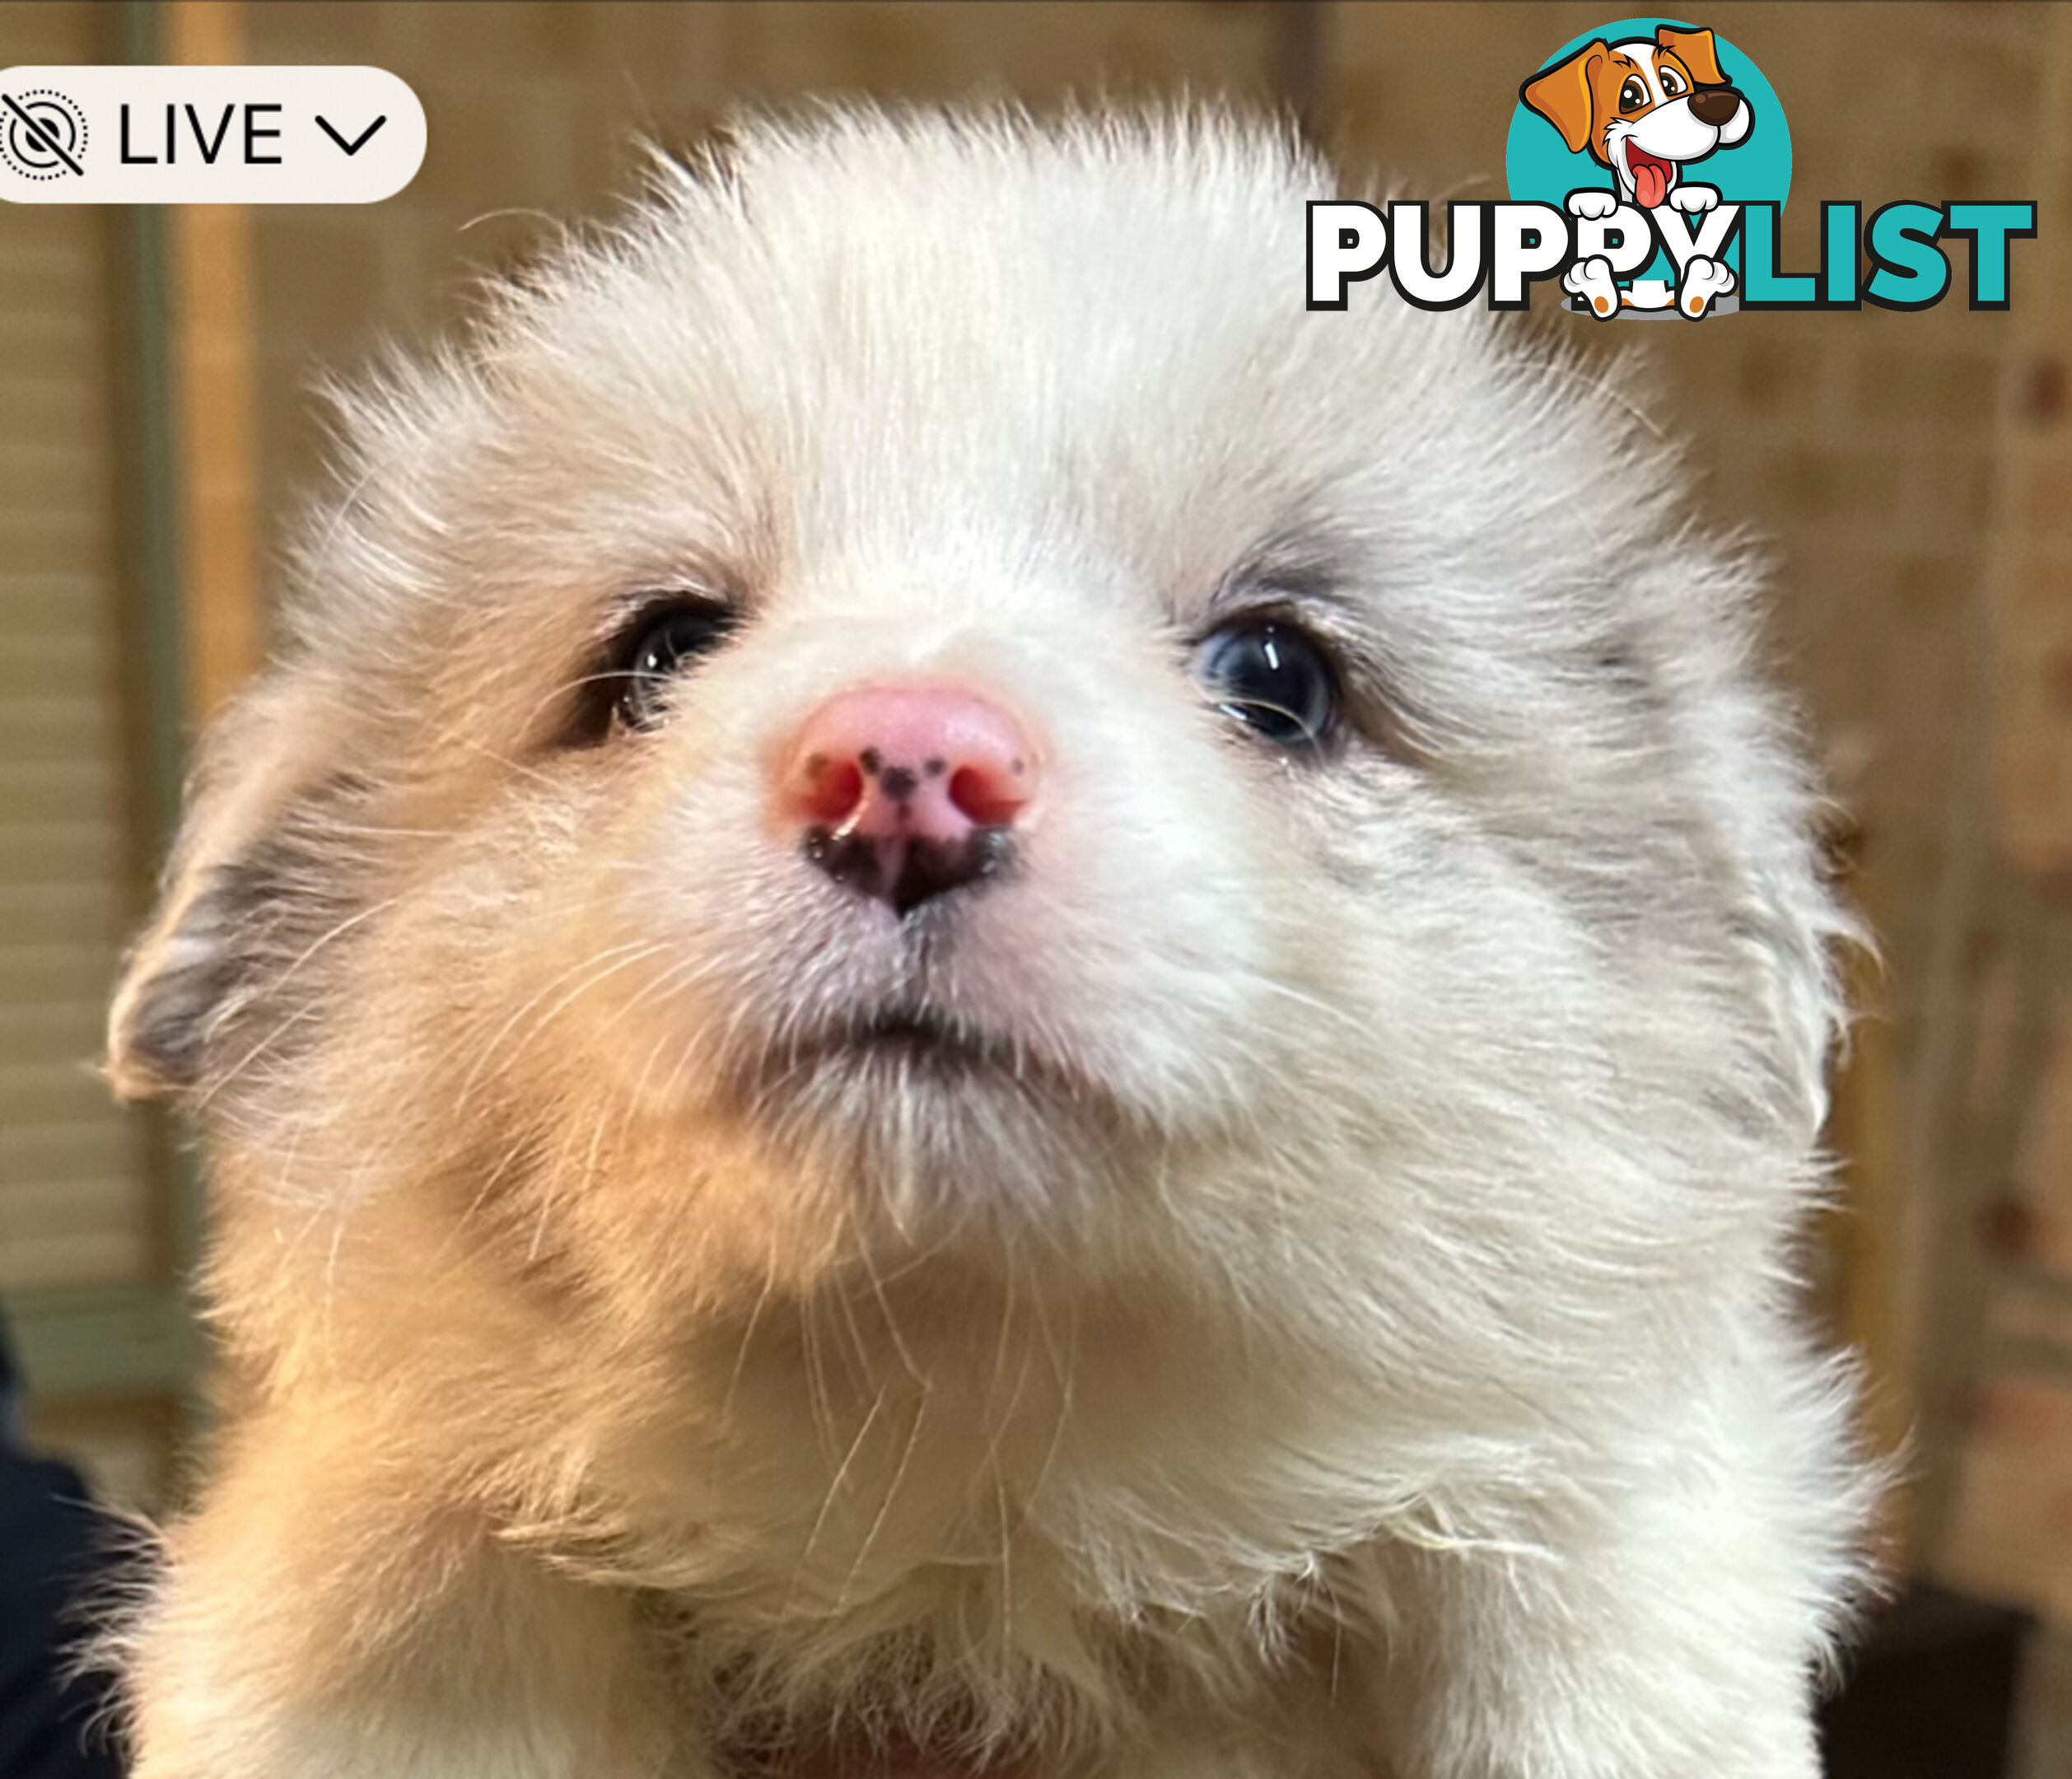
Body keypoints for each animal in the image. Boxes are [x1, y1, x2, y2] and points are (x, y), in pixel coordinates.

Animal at [105, 107, 1873, 1779]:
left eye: (1279, 678)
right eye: (660, 652)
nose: (907, 769)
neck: (967, 1491)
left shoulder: (1612, 1477)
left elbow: (1588, 1620)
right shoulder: (388, 1484)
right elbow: (398, 1593)